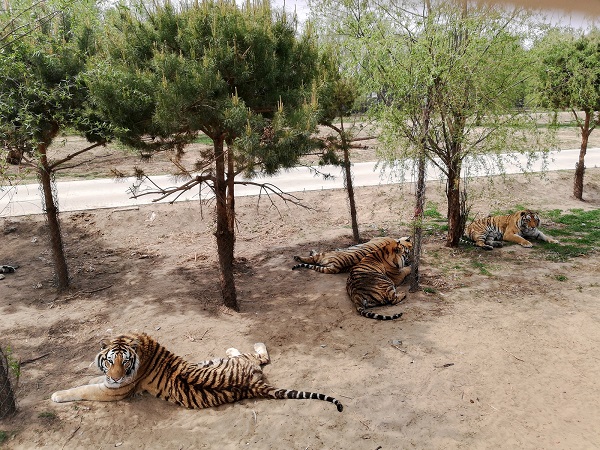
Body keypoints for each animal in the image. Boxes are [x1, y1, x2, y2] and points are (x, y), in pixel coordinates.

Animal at [51, 332, 342, 414]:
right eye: (111, 361)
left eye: (124, 363)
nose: (115, 376)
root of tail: (253, 384)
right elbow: (93, 381)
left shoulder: (116, 392)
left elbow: (84, 389)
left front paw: (56, 395)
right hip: (213, 362)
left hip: (234, 361)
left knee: (258, 355)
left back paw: (241, 345)